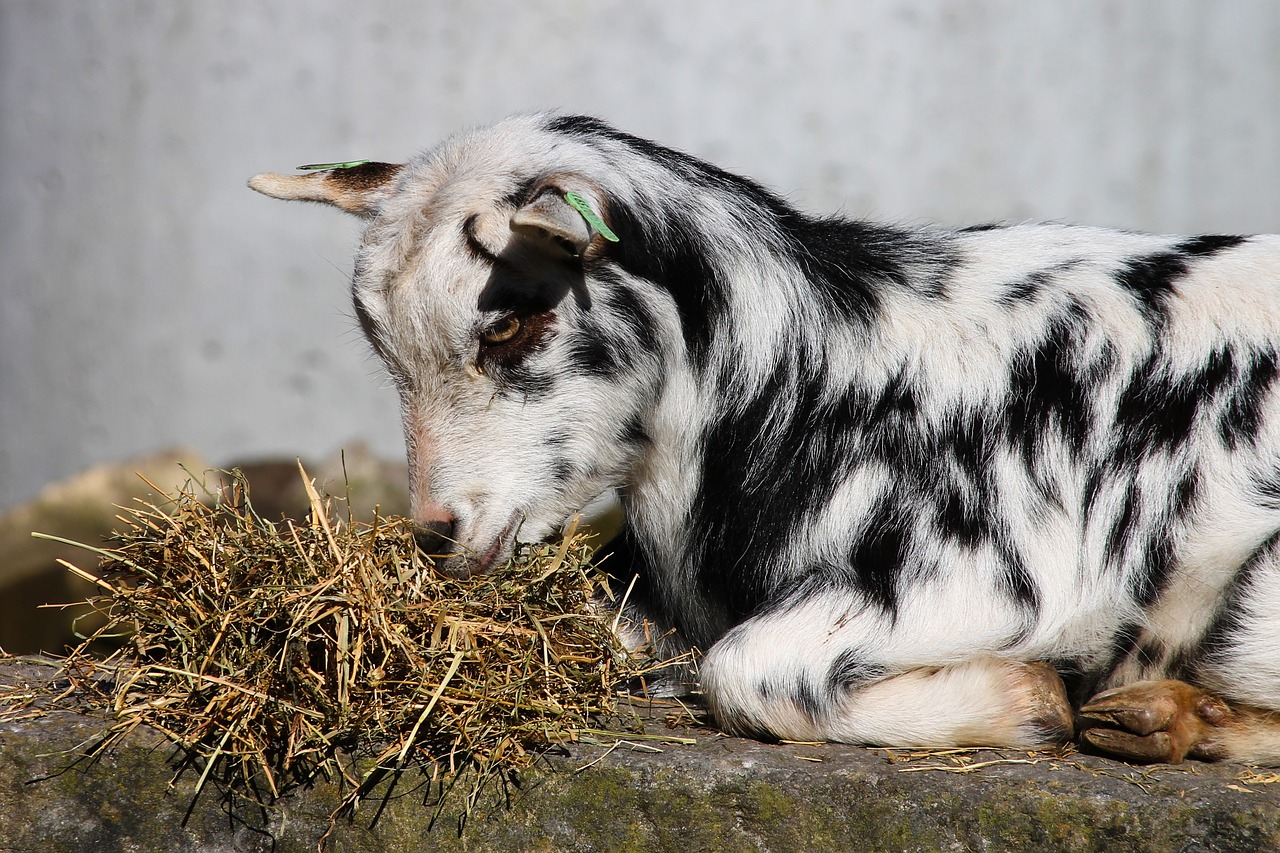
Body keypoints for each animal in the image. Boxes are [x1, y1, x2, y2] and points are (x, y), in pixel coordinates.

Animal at [249, 114, 1280, 763]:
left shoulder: (1007, 571)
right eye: (381, 347)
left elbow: (742, 667)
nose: (436, 532)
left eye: (510, 324)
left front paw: (1025, 701)